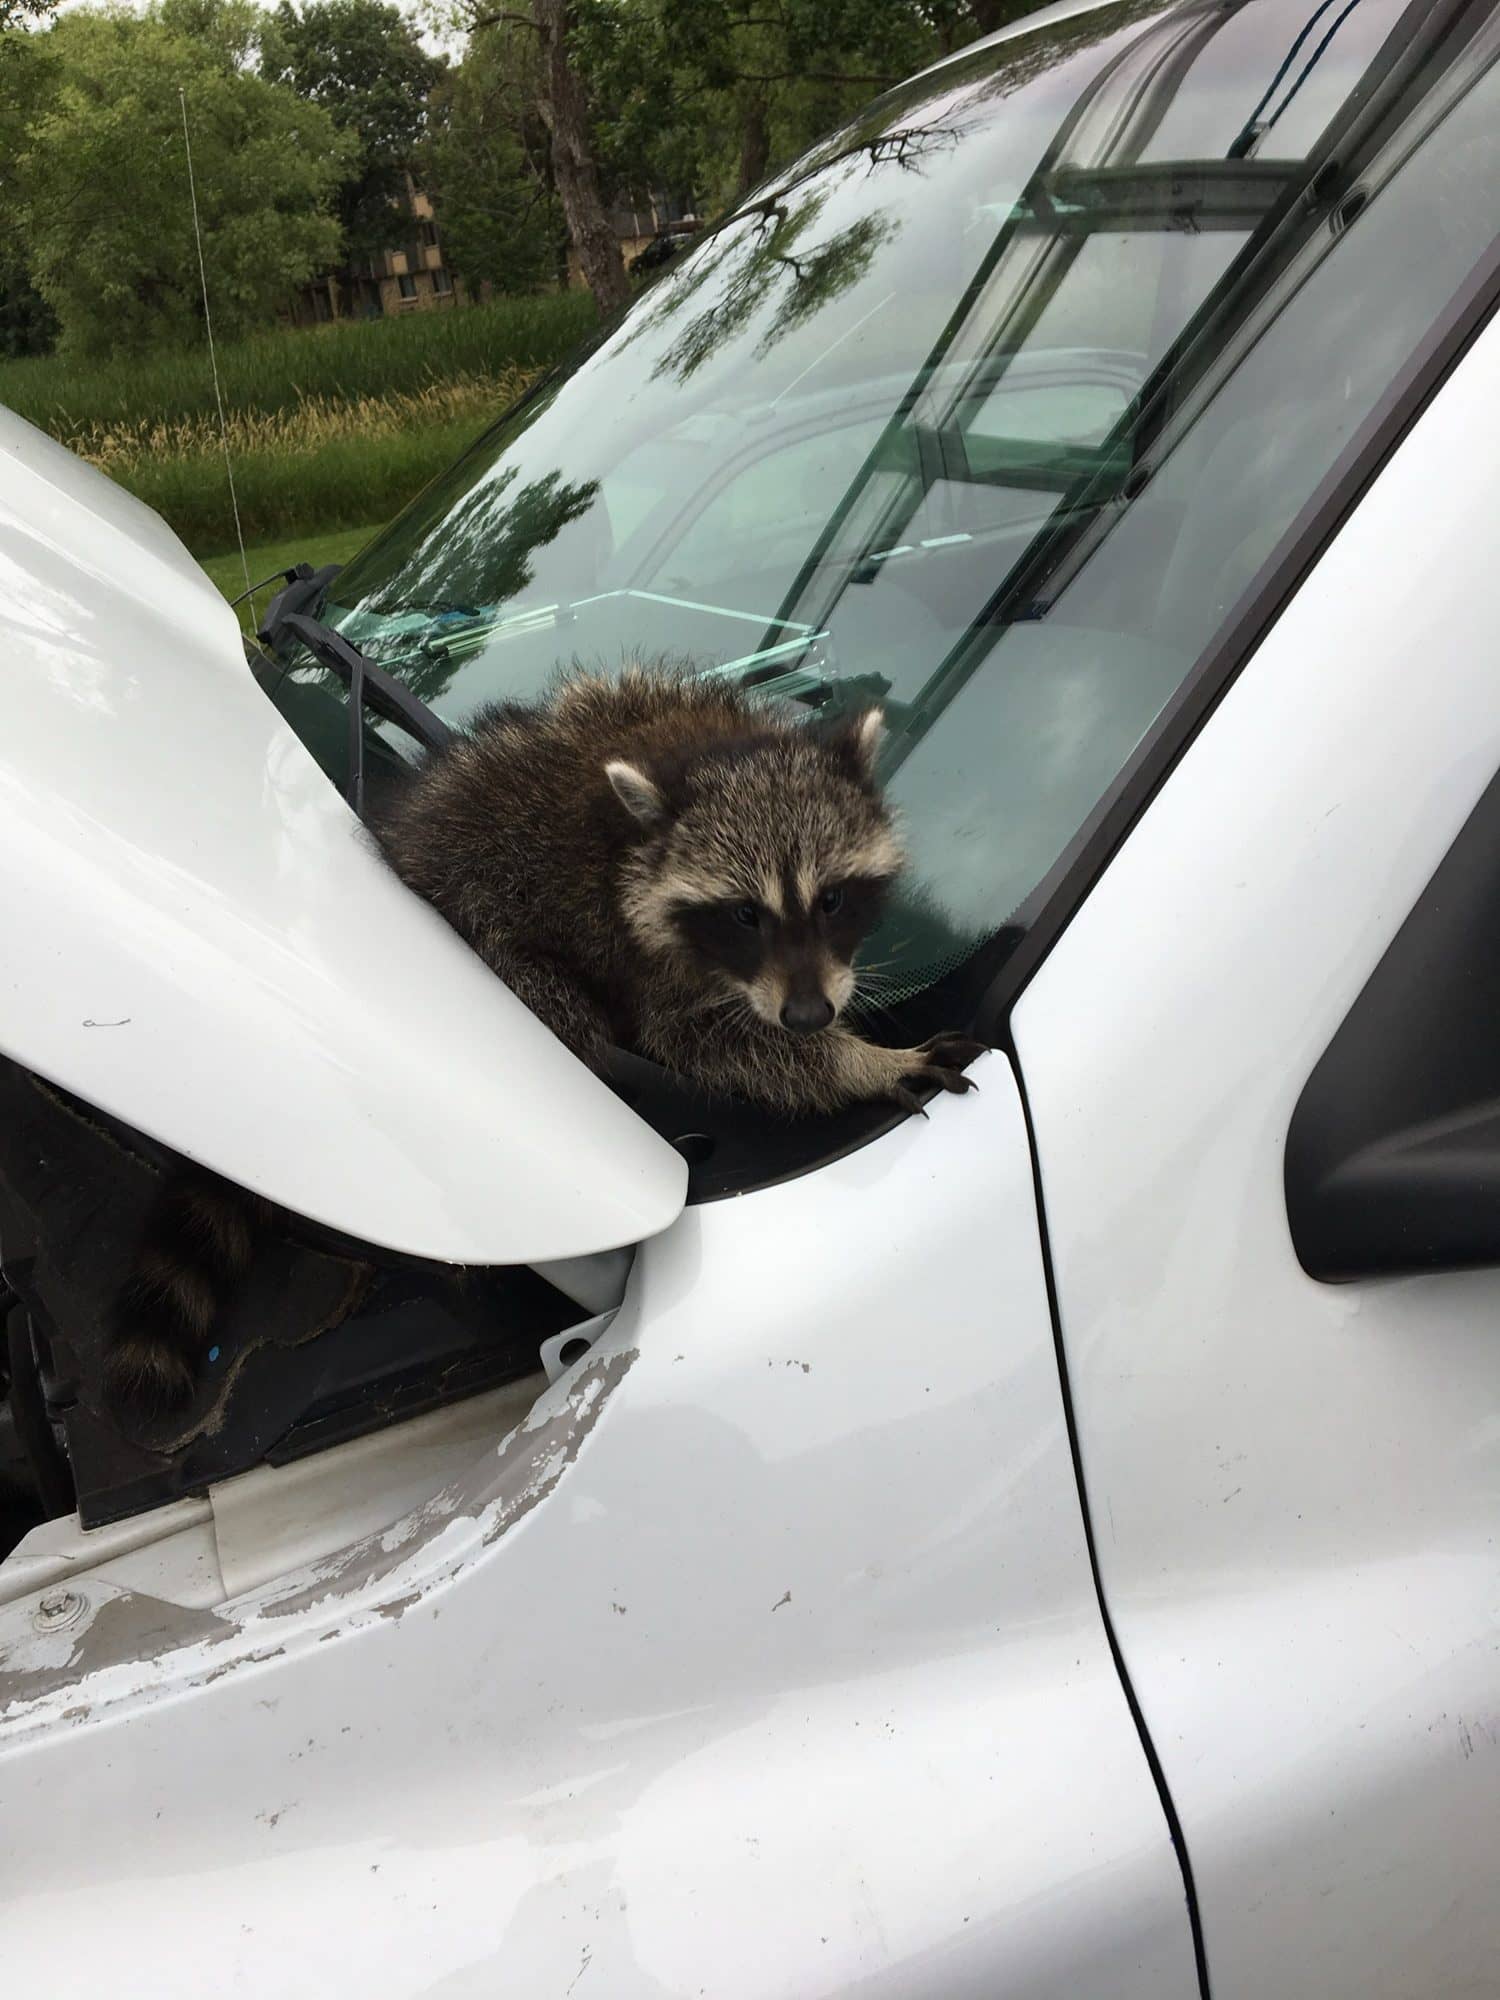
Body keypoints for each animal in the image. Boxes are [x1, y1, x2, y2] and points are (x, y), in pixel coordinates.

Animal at [103, 667, 979, 1416]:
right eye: (743, 915)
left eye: (832, 899)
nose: (808, 1017)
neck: (698, 744)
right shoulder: (642, 947)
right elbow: (705, 1040)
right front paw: (857, 1064)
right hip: (500, 950)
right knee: (563, 1009)